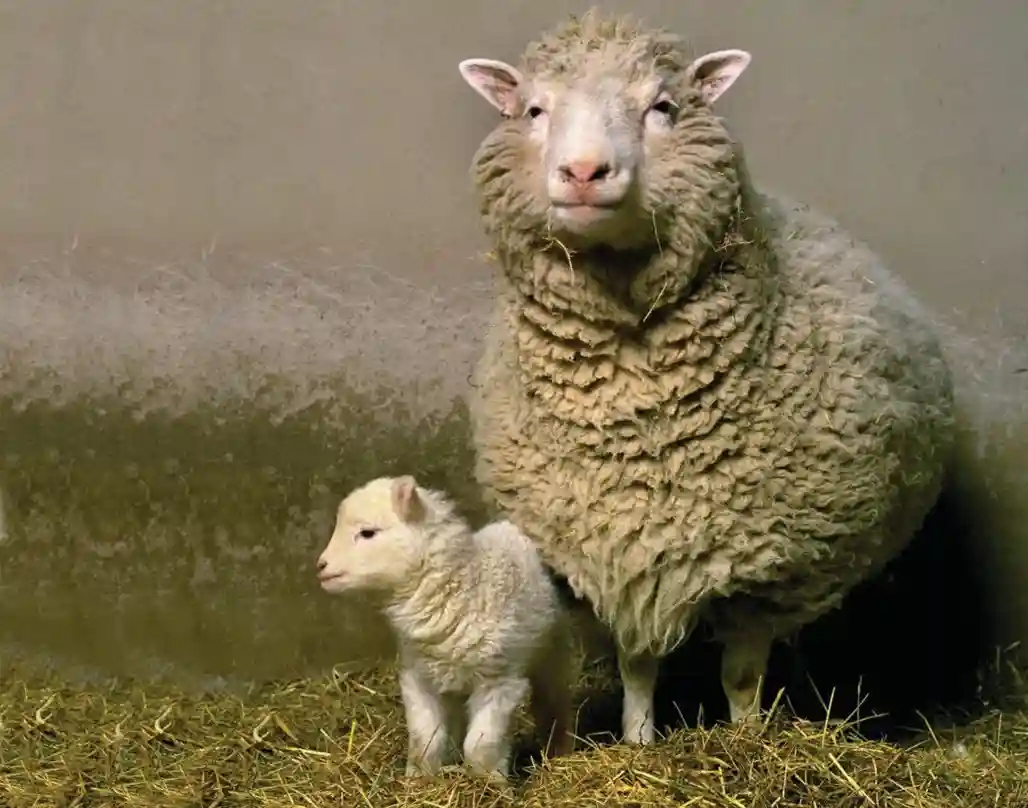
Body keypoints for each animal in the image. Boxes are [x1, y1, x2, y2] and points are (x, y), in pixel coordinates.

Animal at [315, 475, 577, 781]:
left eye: (368, 533)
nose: (321, 566)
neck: (462, 589)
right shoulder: (419, 679)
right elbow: (425, 739)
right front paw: (419, 779)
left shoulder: (500, 681)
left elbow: (481, 746)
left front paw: (488, 783)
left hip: (552, 649)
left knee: (554, 701)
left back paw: (561, 748)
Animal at [455, 8, 957, 746]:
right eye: (533, 110)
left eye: (663, 107)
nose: (584, 171)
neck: (637, 418)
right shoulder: (619, 548)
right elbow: (637, 665)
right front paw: (638, 742)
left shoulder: (767, 569)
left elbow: (741, 676)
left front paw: (749, 743)